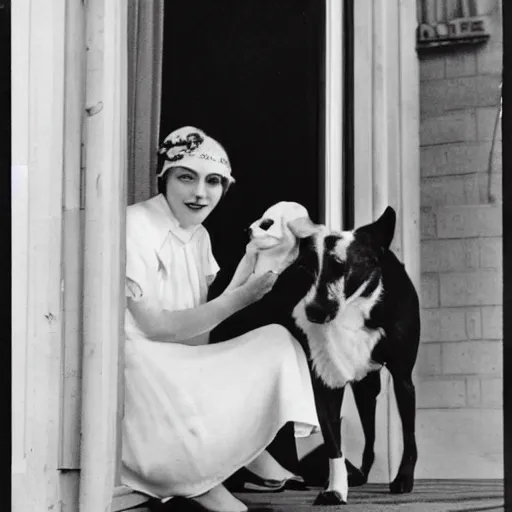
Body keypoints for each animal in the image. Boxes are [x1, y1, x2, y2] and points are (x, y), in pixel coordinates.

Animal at [209, 202, 420, 506]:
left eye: (341, 267)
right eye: (304, 268)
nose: (314, 312)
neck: (353, 314)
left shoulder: (403, 379)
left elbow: (409, 432)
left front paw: (403, 477)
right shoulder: (325, 381)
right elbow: (333, 444)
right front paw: (336, 489)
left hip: (370, 386)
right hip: (363, 387)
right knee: (367, 432)